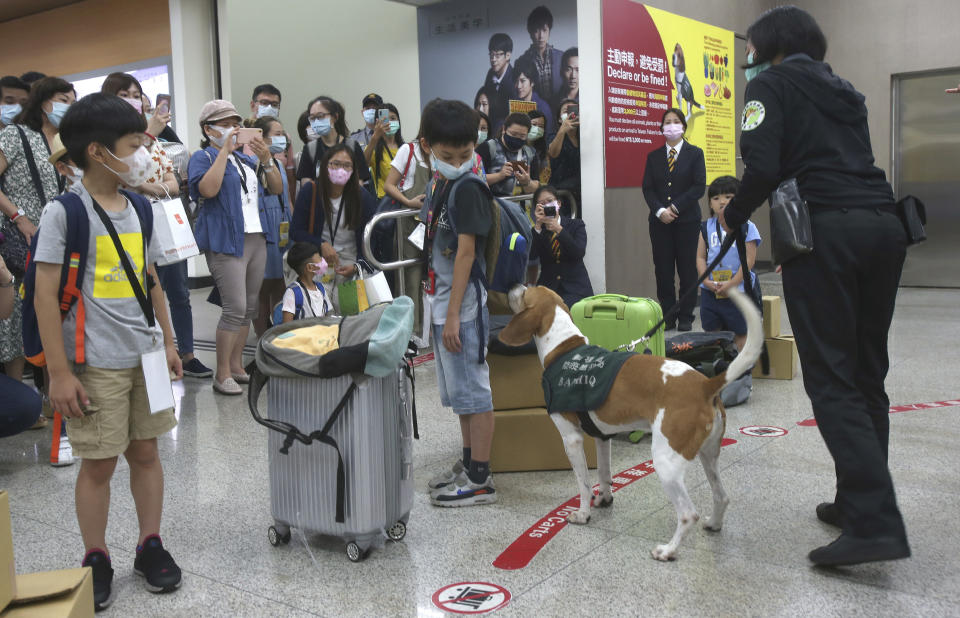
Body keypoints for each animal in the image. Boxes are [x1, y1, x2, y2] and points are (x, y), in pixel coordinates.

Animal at [498, 284, 760, 560]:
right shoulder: (602, 437)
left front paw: (583, 514)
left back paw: (668, 550)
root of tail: (704, 384)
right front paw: (604, 499)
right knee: (721, 496)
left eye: (525, 290)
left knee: (688, 514)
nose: (512, 285)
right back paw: (714, 524)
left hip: (666, 462)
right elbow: (604, 474)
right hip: (708, 455)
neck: (564, 347)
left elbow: (584, 484)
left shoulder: (571, 439)